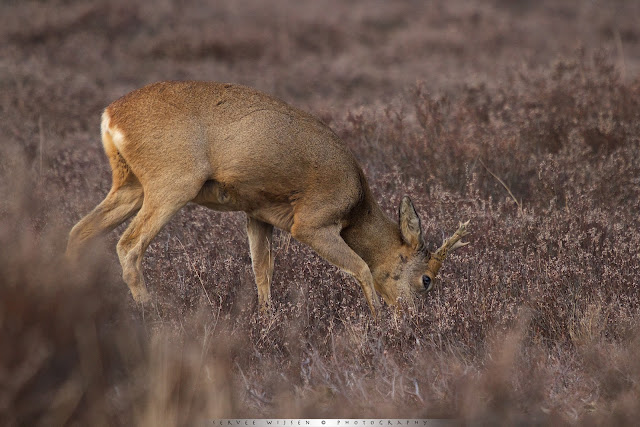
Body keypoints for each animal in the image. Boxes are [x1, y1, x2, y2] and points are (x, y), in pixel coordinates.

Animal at [67, 81, 468, 314]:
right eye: (427, 279)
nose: (412, 319)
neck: (357, 204)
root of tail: (110, 116)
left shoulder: (258, 214)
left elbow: (262, 270)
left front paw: (267, 320)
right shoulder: (311, 222)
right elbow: (362, 268)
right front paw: (376, 323)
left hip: (129, 184)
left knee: (79, 231)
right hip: (172, 182)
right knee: (128, 245)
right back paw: (151, 314)